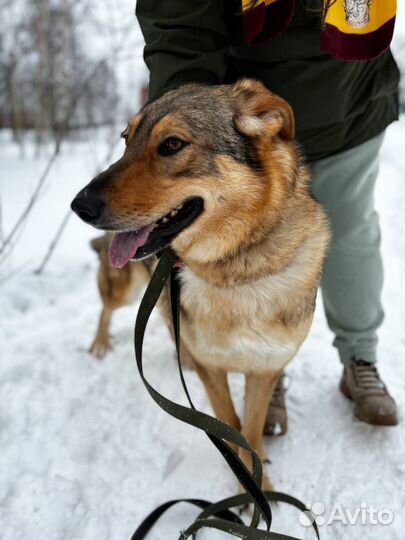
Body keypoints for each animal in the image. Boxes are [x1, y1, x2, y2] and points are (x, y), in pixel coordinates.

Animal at [71, 80, 330, 490]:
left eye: (173, 145)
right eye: (127, 140)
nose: (79, 206)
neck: (235, 273)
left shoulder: (265, 369)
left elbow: (251, 430)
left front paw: (259, 485)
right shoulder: (214, 370)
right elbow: (231, 424)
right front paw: (246, 484)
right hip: (126, 288)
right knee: (107, 308)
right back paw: (99, 343)